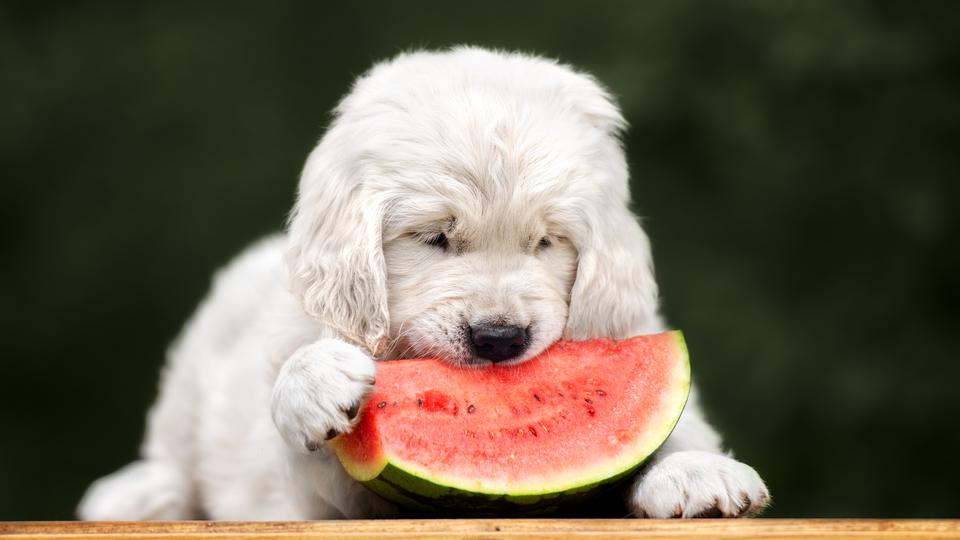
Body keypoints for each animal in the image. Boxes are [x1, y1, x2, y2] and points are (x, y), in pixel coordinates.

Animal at [80, 48, 772, 520]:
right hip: (194, 368)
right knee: (171, 451)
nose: (499, 339)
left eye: (547, 243)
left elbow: (678, 427)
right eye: (435, 238)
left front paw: (695, 472)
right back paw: (138, 493)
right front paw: (314, 380)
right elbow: (310, 441)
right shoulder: (330, 498)